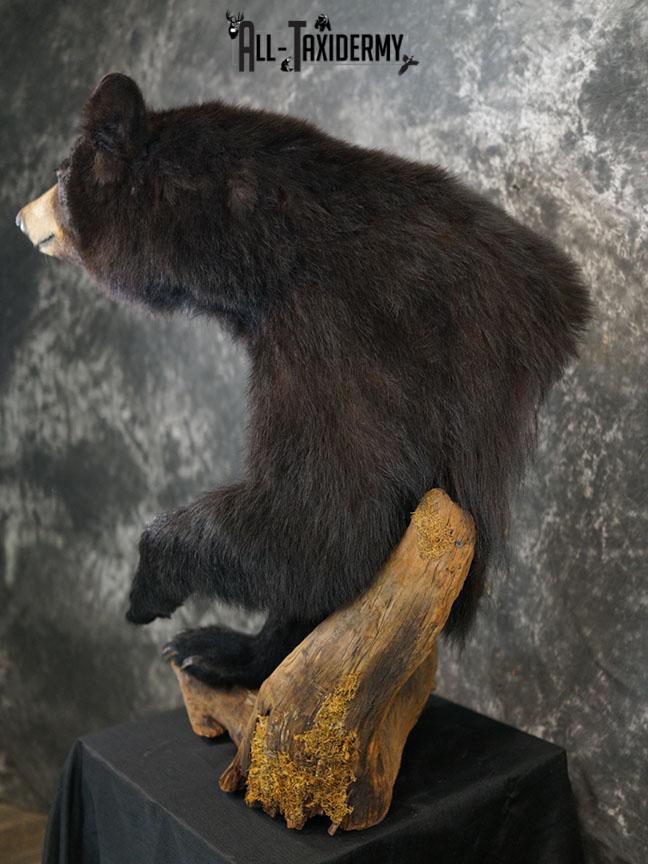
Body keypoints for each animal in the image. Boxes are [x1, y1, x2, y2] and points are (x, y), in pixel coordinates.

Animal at [17, 73, 591, 688]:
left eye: (60, 175)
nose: (21, 217)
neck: (258, 244)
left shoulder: (337, 331)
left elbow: (331, 517)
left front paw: (151, 589)